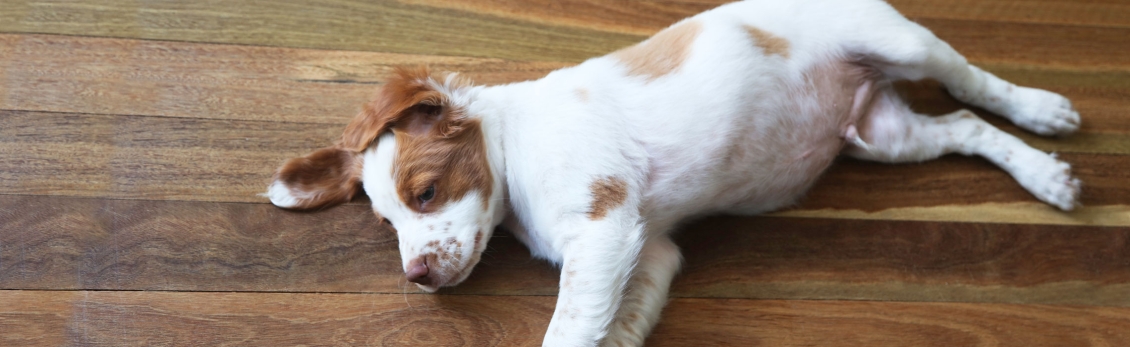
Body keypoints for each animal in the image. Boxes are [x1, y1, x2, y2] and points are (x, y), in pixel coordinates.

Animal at [262, 0, 1075, 345]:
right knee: (965, 125)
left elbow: (566, 332)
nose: (418, 277)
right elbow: (610, 331)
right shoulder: (646, 252)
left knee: (973, 84)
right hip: (883, 135)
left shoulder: (604, 227)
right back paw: (1044, 175)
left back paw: (1042, 113)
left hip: (900, 44)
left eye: (427, 192)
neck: (516, 158)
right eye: (386, 222)